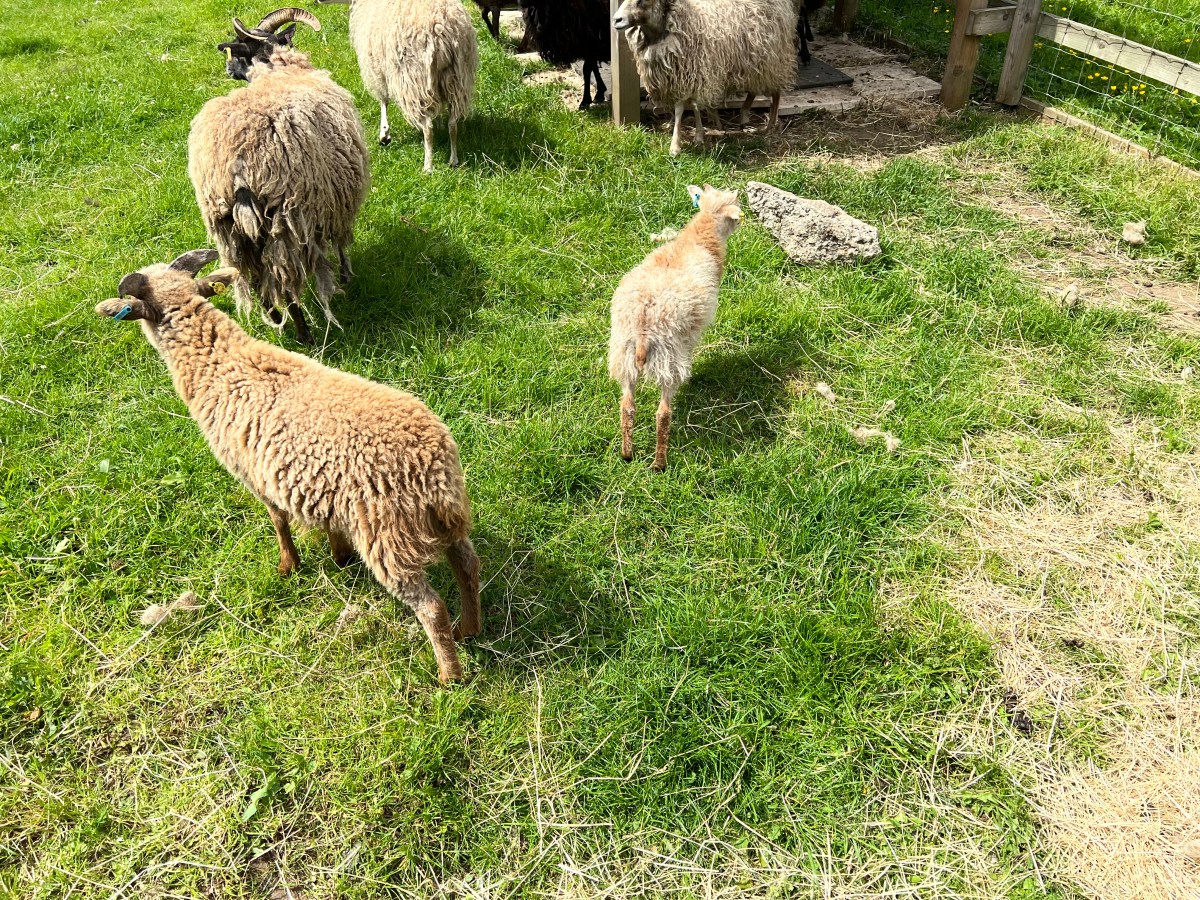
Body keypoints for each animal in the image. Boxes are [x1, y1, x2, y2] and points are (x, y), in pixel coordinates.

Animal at [95, 250, 482, 684]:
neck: (219, 363)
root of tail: (431, 467)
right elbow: (327, 525)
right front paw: (339, 556)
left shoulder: (253, 474)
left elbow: (278, 521)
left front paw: (288, 566)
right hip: (447, 519)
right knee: (468, 565)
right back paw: (469, 629)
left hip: (388, 537)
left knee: (430, 606)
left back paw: (449, 675)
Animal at [188, 8, 369, 345]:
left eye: (238, 52)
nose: (227, 66)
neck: (279, 70)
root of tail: (238, 167)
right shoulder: (338, 199)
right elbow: (341, 242)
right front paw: (347, 276)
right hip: (283, 222)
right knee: (285, 285)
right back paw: (303, 335)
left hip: (230, 231)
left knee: (256, 283)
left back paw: (277, 324)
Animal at [318, 0, 479, 172]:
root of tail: (440, 29)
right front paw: (439, 121)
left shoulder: (377, 68)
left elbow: (383, 100)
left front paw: (384, 134)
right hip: (457, 78)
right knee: (453, 124)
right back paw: (453, 159)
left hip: (413, 79)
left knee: (428, 128)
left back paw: (428, 166)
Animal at [608, 185, 742, 470]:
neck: (698, 239)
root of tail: (643, 327)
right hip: (669, 361)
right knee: (663, 413)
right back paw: (659, 464)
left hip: (622, 357)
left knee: (627, 406)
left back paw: (627, 454)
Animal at [612, 0, 798, 155]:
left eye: (643, 0)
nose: (616, 20)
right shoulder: (678, 77)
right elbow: (686, 106)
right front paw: (691, 131)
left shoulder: (692, 73)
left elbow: (682, 108)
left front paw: (677, 145)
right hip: (752, 63)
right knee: (753, 89)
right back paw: (744, 115)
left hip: (772, 59)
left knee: (775, 92)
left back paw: (769, 126)